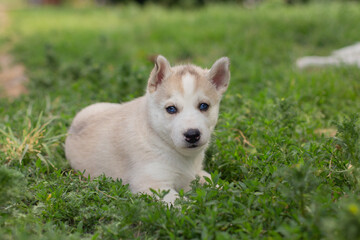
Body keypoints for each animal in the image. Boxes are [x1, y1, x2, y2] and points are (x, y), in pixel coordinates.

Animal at [65, 55, 231, 203]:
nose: (192, 135)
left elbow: (218, 185)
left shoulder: (195, 175)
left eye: (204, 106)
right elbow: (184, 204)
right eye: (171, 109)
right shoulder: (152, 185)